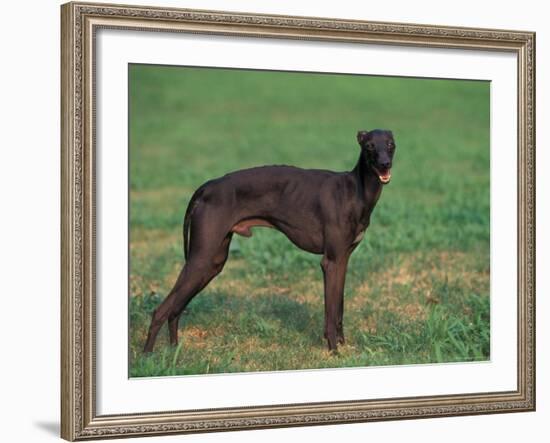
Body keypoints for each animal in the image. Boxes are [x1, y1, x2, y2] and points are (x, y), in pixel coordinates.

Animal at [144, 129, 396, 354]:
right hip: (200, 259)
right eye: (370, 146)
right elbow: (331, 312)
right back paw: (148, 356)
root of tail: (207, 186)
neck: (355, 191)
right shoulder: (331, 262)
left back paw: (174, 350)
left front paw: (343, 345)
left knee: (176, 309)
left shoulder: (343, 260)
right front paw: (334, 350)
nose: (385, 164)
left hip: (212, 262)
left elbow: (339, 308)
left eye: (391, 144)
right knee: (160, 311)